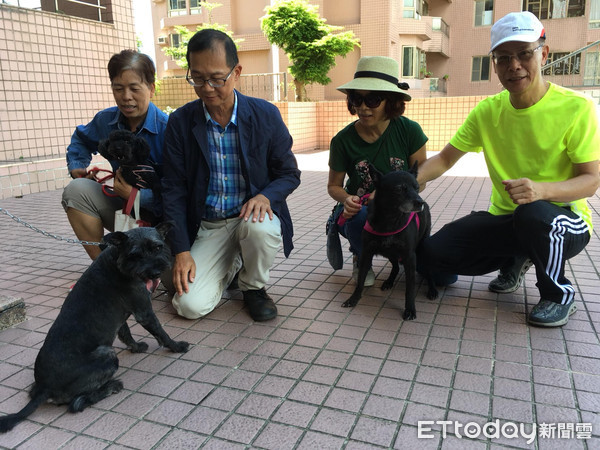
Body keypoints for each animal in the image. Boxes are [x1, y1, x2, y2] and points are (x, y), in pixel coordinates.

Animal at [0, 223, 188, 434]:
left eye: (157, 247)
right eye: (135, 255)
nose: (155, 273)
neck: (116, 262)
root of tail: (44, 388)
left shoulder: (119, 316)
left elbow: (125, 333)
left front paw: (137, 347)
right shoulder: (144, 311)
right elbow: (161, 333)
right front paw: (177, 347)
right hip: (106, 354)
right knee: (77, 403)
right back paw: (110, 387)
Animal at [344, 164, 438, 320]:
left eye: (417, 187)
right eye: (399, 189)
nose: (420, 203)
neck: (390, 220)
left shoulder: (409, 257)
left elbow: (410, 288)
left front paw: (410, 309)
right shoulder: (366, 253)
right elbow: (361, 279)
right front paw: (353, 299)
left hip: (422, 248)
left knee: (429, 271)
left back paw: (432, 289)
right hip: (389, 252)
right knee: (395, 267)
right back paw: (389, 281)